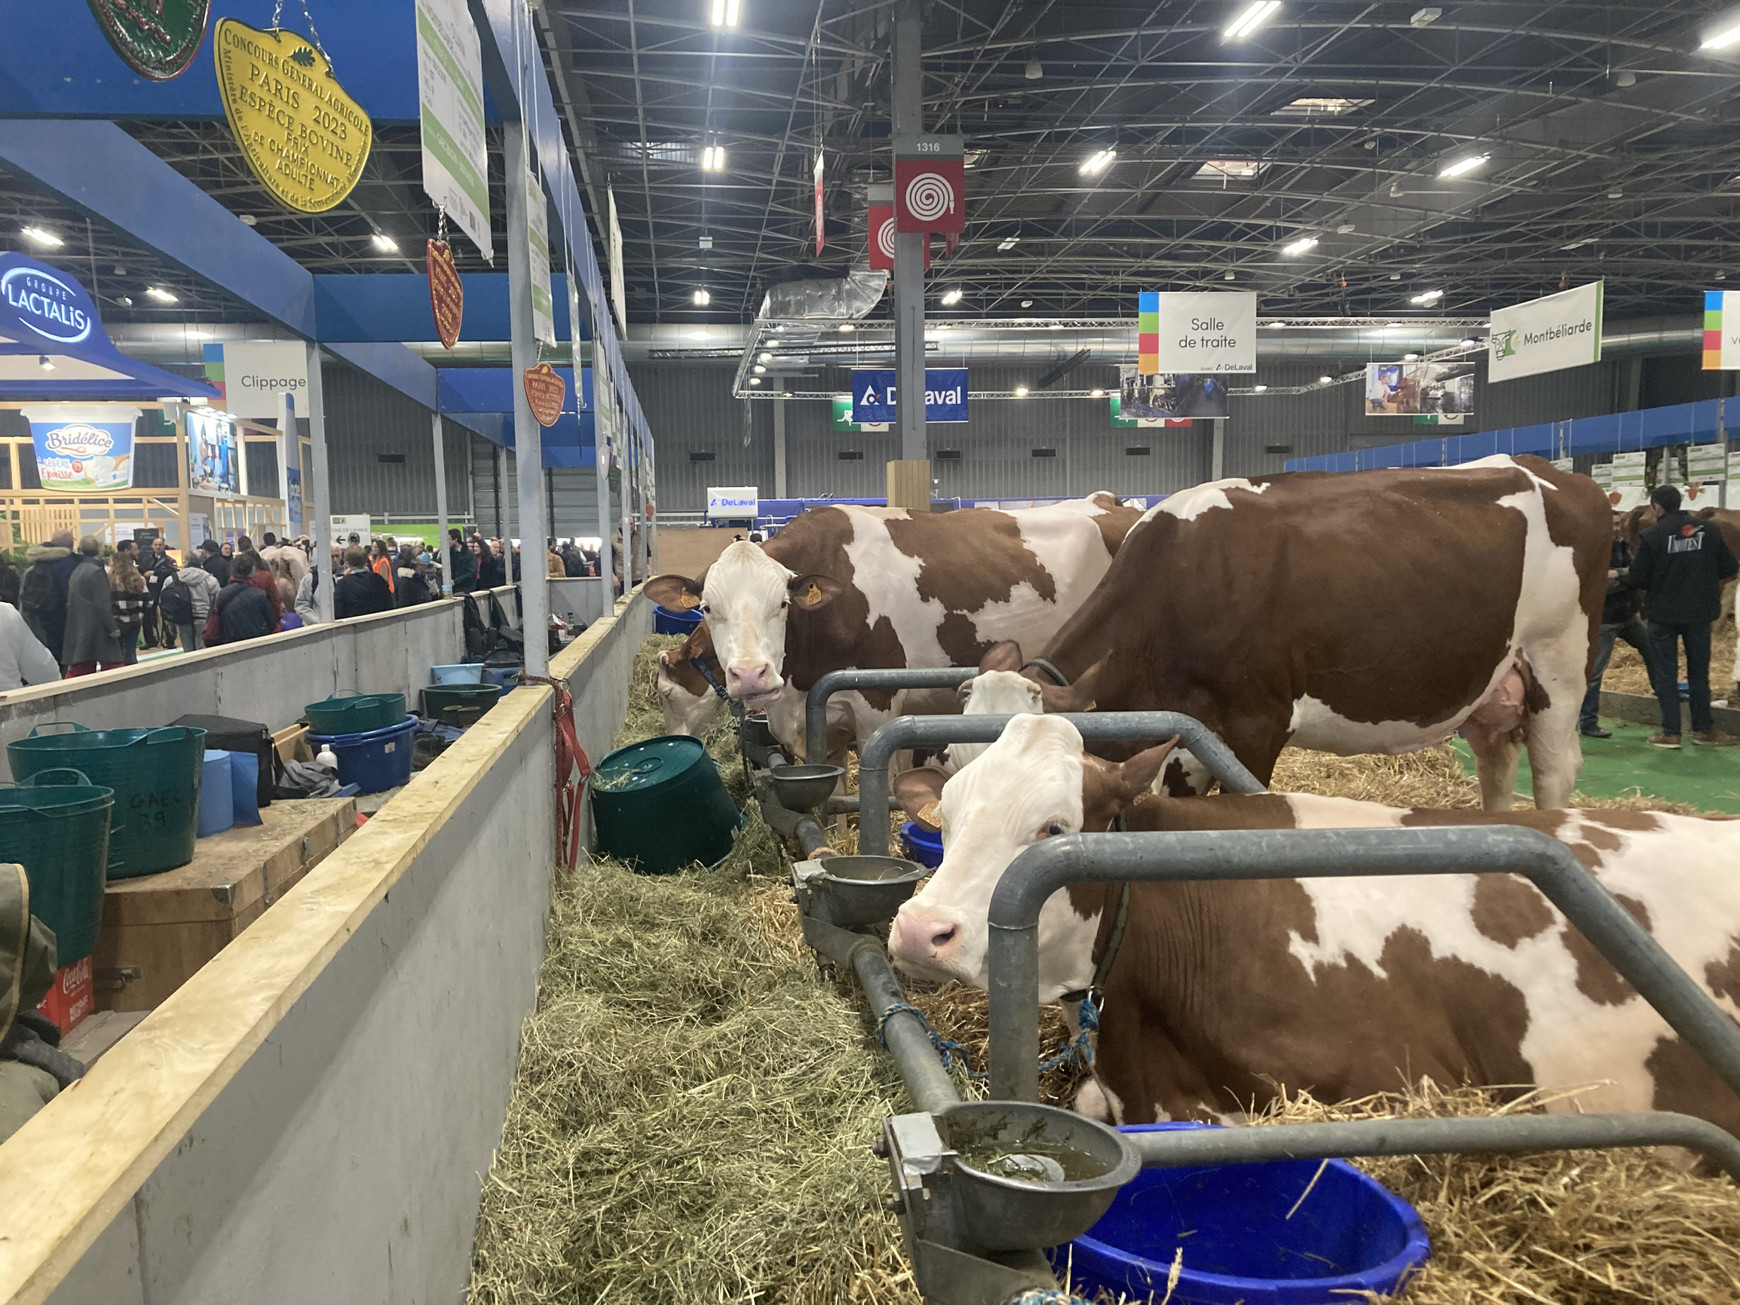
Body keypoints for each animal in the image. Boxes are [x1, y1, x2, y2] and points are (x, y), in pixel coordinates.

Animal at [647, 490, 1148, 755]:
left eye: (783, 604)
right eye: (706, 607)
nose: (750, 675)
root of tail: (1112, 502)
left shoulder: (878, 703)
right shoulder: (818, 717)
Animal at [981, 455, 1614, 814]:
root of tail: (1558, 473)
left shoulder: (1258, 723)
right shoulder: (1190, 732)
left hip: (1560, 662)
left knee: (1554, 768)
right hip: (1491, 680)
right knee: (1497, 760)